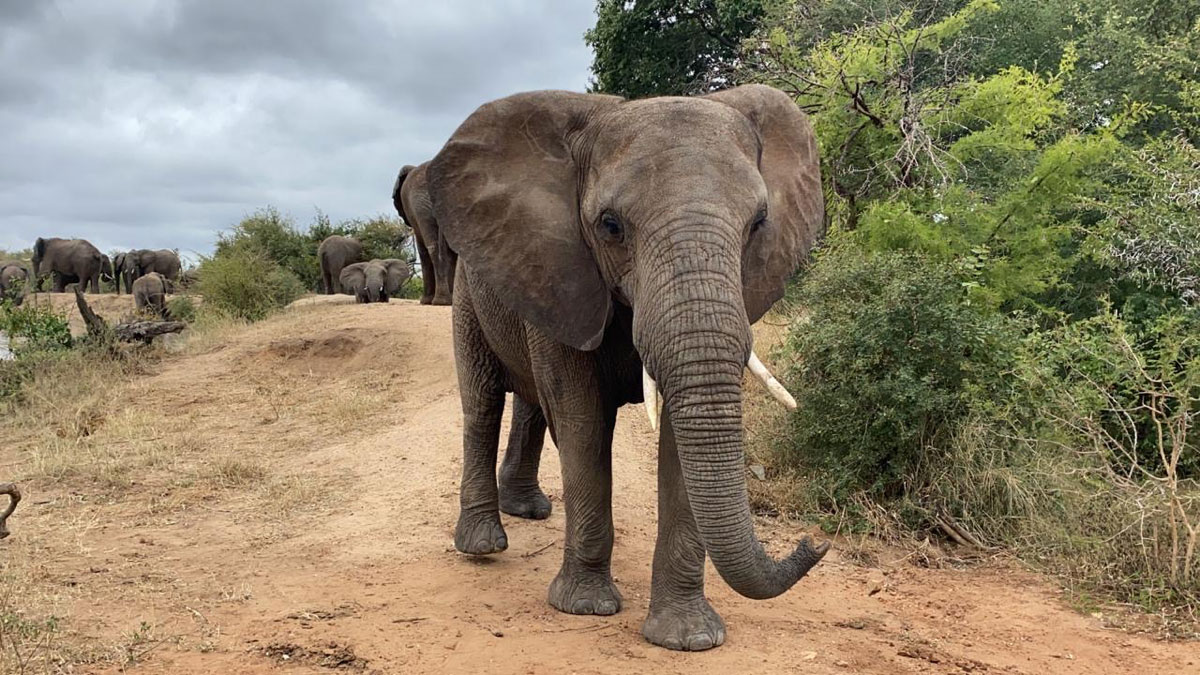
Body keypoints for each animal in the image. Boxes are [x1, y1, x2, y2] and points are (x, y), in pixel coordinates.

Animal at [393, 162, 457, 305]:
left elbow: (422, 250)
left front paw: (424, 301)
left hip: (421, 206)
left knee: (432, 249)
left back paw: (440, 301)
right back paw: (445, 301)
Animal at [428, 84, 828, 651]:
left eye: (758, 224)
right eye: (610, 226)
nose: (814, 542)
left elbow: (680, 439)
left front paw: (688, 638)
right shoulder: (565, 270)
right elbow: (582, 422)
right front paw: (584, 608)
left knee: (530, 404)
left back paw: (529, 510)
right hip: (471, 287)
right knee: (482, 402)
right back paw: (483, 545)